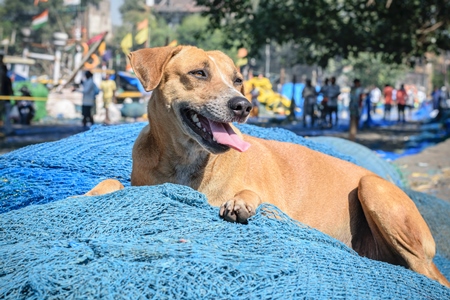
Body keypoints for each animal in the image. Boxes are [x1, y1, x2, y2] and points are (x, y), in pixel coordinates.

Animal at [88, 45, 450, 288]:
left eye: (237, 79)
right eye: (199, 73)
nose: (243, 105)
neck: (187, 162)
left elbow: (251, 194)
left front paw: (240, 203)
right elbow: (113, 183)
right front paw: (91, 193)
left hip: (373, 189)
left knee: (427, 273)